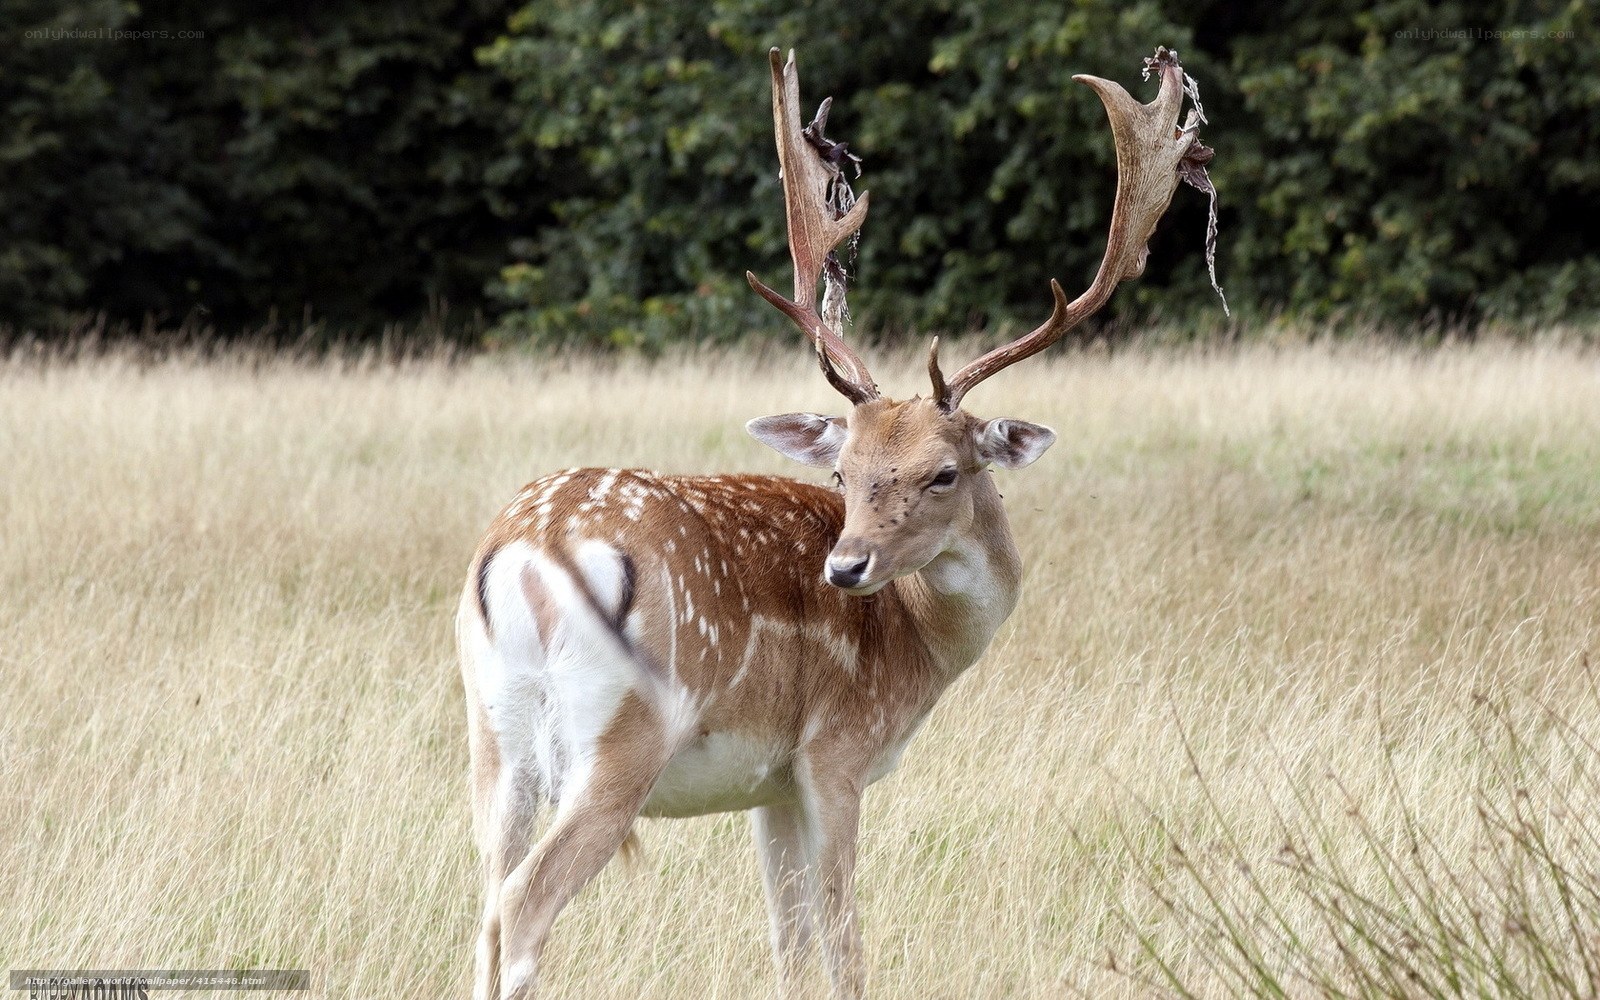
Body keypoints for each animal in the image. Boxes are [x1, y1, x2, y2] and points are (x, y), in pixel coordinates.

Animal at [457, 45, 1215, 1000]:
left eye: (943, 471)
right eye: (841, 470)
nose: (846, 568)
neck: (918, 647)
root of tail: (535, 547)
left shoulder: (770, 784)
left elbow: (785, 943)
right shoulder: (835, 755)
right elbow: (843, 944)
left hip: (493, 734)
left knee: (484, 901)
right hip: (623, 734)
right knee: (522, 908)